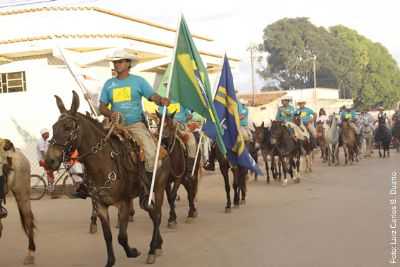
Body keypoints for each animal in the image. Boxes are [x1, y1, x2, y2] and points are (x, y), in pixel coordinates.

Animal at [45, 91, 170, 266]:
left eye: (68, 127)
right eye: (53, 127)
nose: (49, 161)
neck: (102, 164)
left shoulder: (124, 203)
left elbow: (122, 237)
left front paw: (132, 252)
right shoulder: (101, 205)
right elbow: (108, 236)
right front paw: (110, 261)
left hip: (158, 188)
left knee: (157, 216)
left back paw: (152, 249)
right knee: (153, 214)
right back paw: (158, 245)